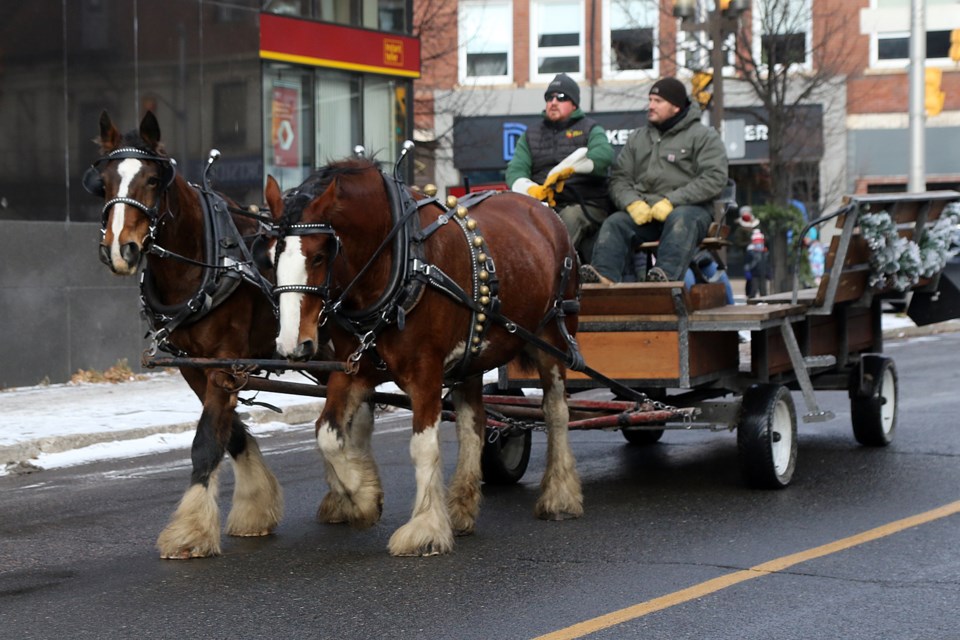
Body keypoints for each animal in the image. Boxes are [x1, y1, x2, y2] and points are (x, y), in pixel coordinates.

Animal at [85, 112, 282, 556]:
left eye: (153, 179)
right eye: (103, 181)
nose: (120, 250)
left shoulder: (225, 362)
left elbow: (206, 441)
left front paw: (190, 532)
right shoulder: (194, 366)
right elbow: (229, 433)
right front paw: (255, 506)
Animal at [262, 155, 584, 556]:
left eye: (320, 255)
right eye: (271, 257)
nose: (293, 345)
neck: (398, 264)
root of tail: (543, 210)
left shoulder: (426, 372)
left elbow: (423, 446)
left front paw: (425, 528)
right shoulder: (355, 370)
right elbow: (327, 434)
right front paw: (363, 498)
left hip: (552, 339)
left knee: (555, 412)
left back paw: (559, 496)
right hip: (472, 356)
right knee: (473, 424)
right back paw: (461, 508)